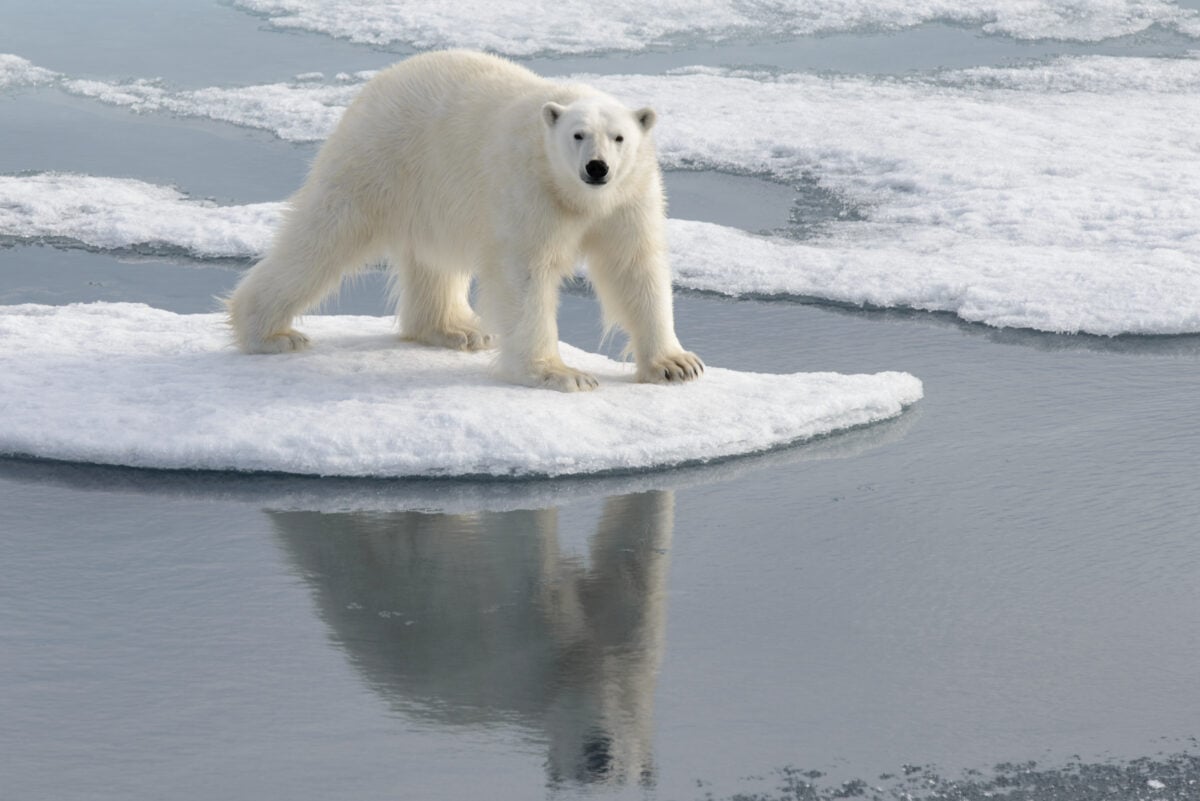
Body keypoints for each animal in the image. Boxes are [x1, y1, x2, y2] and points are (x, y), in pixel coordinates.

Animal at [223, 48, 700, 393]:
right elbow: (525, 276)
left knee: (434, 260)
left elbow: (633, 267)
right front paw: (561, 374)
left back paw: (456, 330)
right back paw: (271, 334)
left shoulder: (629, 197)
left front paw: (677, 364)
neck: (577, 197)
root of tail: (379, 82)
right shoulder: (527, 187)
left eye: (619, 137)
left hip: (433, 194)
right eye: (577, 135)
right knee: (323, 237)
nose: (597, 168)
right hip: (380, 157)